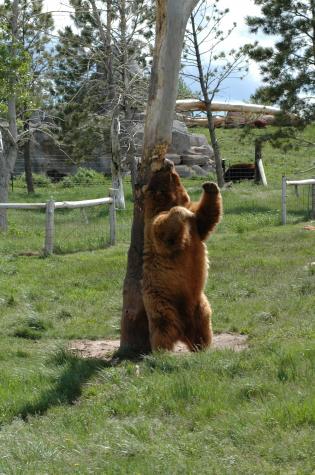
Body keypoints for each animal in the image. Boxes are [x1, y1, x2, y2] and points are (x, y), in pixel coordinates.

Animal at [143, 162, 222, 352]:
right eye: (159, 171)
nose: (168, 162)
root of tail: (184, 331)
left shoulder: (197, 227)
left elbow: (205, 217)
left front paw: (210, 185)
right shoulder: (154, 224)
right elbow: (165, 227)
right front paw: (182, 212)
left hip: (201, 305)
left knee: (204, 327)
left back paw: (203, 347)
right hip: (161, 302)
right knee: (162, 327)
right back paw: (161, 351)